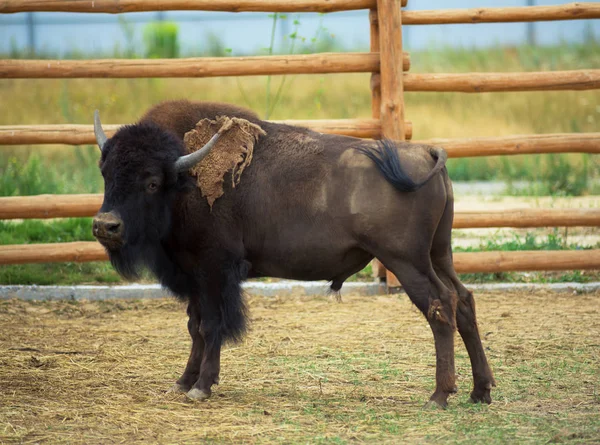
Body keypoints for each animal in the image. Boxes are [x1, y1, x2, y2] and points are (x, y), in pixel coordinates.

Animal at [91, 99, 494, 406]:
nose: (105, 226)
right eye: (106, 174)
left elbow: (210, 325)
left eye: (151, 181)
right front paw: (183, 382)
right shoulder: (194, 276)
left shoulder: (213, 271)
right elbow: (195, 326)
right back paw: (480, 392)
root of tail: (426, 152)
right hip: (439, 255)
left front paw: (201, 387)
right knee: (464, 301)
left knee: (440, 307)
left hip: (407, 262)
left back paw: (439, 396)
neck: (182, 174)